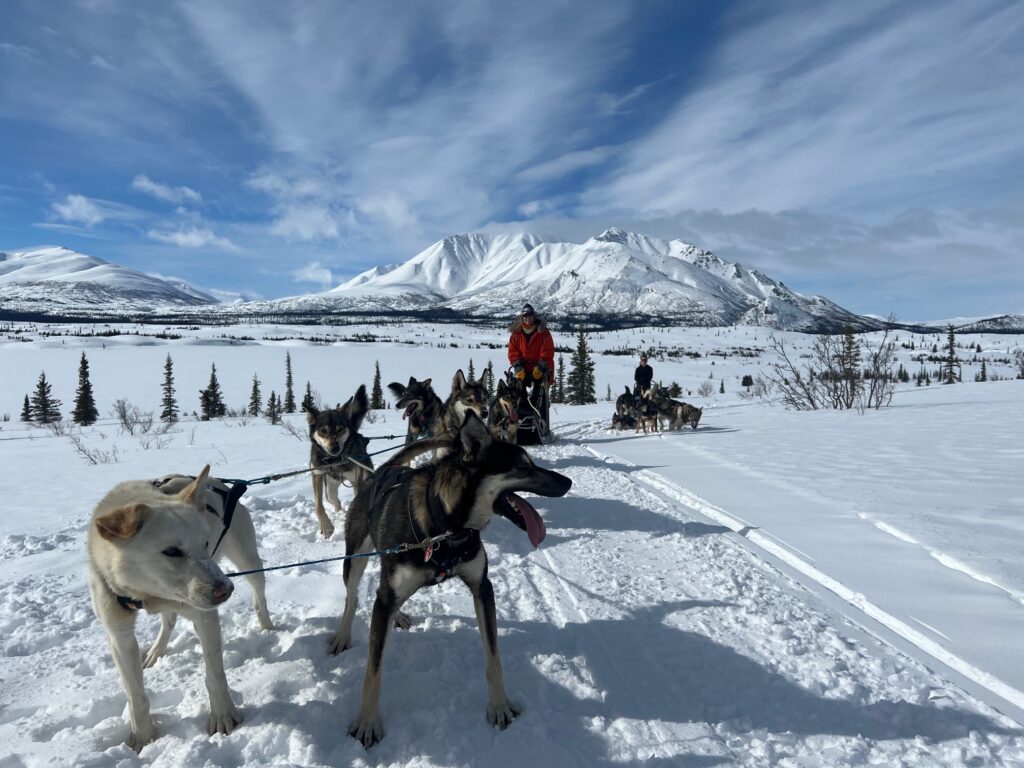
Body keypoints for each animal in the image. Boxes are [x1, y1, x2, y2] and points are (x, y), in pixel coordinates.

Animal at [87, 466, 270, 753]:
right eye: (171, 551)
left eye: (205, 543)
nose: (225, 589)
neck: (146, 594)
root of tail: (219, 483)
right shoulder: (119, 635)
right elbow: (135, 694)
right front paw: (142, 736)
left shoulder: (205, 616)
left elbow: (214, 675)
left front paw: (223, 715)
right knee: (168, 620)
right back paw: (155, 651)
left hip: (248, 561)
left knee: (259, 597)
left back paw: (267, 626)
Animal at [305, 385, 374, 540]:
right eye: (323, 431)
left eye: (340, 429)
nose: (334, 447)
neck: (334, 460)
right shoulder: (317, 474)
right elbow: (318, 506)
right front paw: (326, 527)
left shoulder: (358, 480)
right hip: (330, 488)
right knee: (334, 500)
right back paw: (339, 513)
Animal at [327, 411, 569, 749]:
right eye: (522, 466)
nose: (568, 482)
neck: (446, 526)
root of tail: (383, 471)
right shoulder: (387, 594)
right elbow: (373, 671)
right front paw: (367, 722)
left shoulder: (482, 587)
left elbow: (493, 656)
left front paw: (499, 706)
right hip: (355, 559)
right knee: (353, 597)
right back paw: (343, 635)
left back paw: (397, 616)